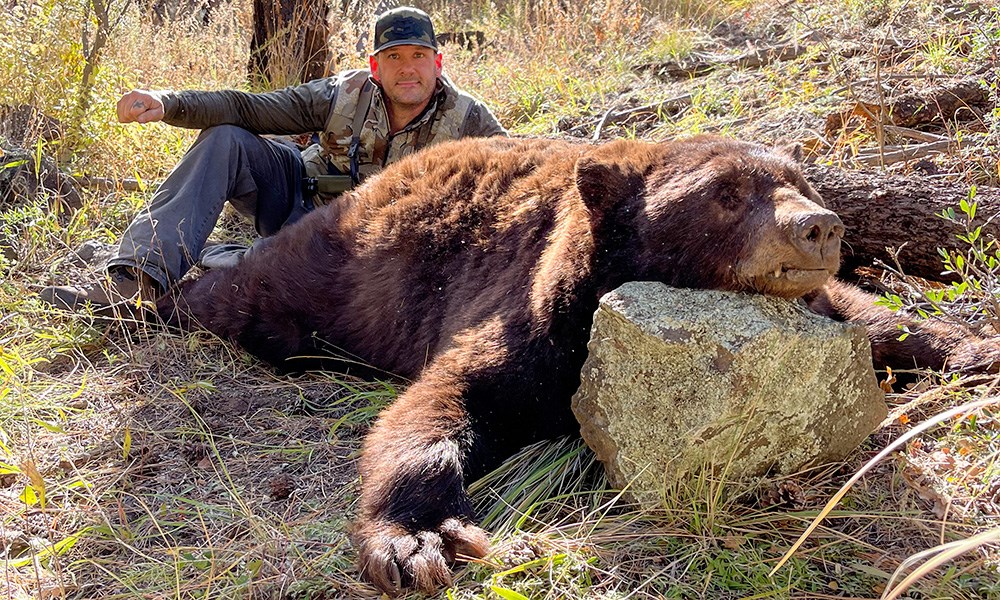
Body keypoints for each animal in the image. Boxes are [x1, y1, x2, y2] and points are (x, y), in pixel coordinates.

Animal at [156, 137, 1000, 596]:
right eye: (728, 193)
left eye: (801, 181)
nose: (819, 228)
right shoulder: (530, 313)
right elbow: (443, 402)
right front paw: (418, 537)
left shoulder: (823, 305)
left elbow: (873, 316)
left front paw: (973, 348)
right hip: (330, 274)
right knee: (243, 295)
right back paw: (148, 296)